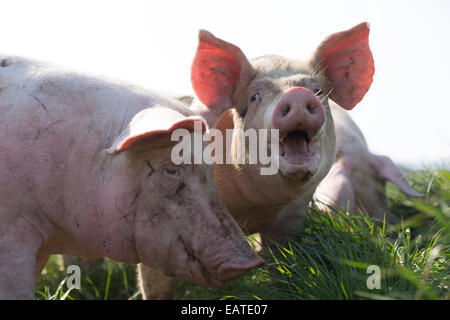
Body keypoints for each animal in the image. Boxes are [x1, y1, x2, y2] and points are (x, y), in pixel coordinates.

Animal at [140, 23, 376, 300]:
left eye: (318, 91)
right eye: (254, 96)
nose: (298, 94)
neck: (254, 206)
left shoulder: (292, 218)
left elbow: (283, 266)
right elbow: (158, 283)